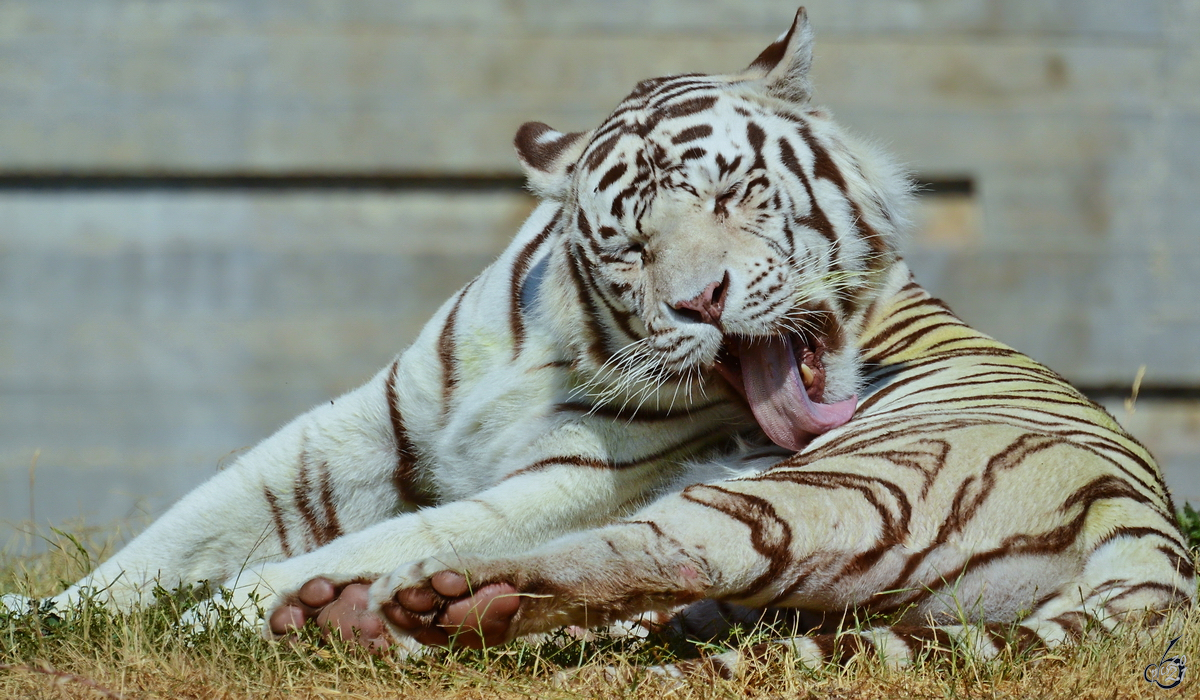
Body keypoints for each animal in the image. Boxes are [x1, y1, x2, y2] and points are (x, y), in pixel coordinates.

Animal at [7, 8, 1190, 672]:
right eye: (627, 242)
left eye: (737, 193)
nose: (701, 301)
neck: (550, 338)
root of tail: (1158, 548)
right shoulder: (362, 427)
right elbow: (179, 532)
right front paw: (46, 614)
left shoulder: (579, 477)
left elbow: (394, 533)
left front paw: (228, 611)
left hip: (838, 482)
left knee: (637, 551)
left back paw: (385, 607)